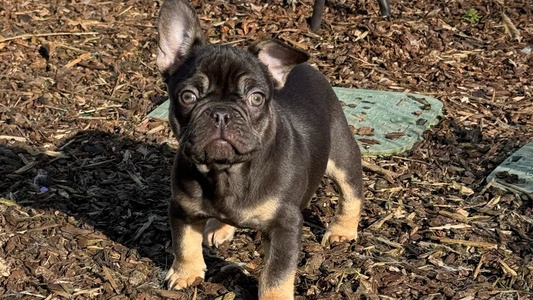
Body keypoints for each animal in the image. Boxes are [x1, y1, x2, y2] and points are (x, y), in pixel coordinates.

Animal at [157, 0, 366, 298]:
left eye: (256, 98)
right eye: (188, 96)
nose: (221, 113)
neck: (228, 172)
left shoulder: (284, 226)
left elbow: (276, 274)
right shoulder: (182, 208)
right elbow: (184, 243)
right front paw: (185, 273)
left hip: (341, 153)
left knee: (351, 191)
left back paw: (342, 231)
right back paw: (218, 227)